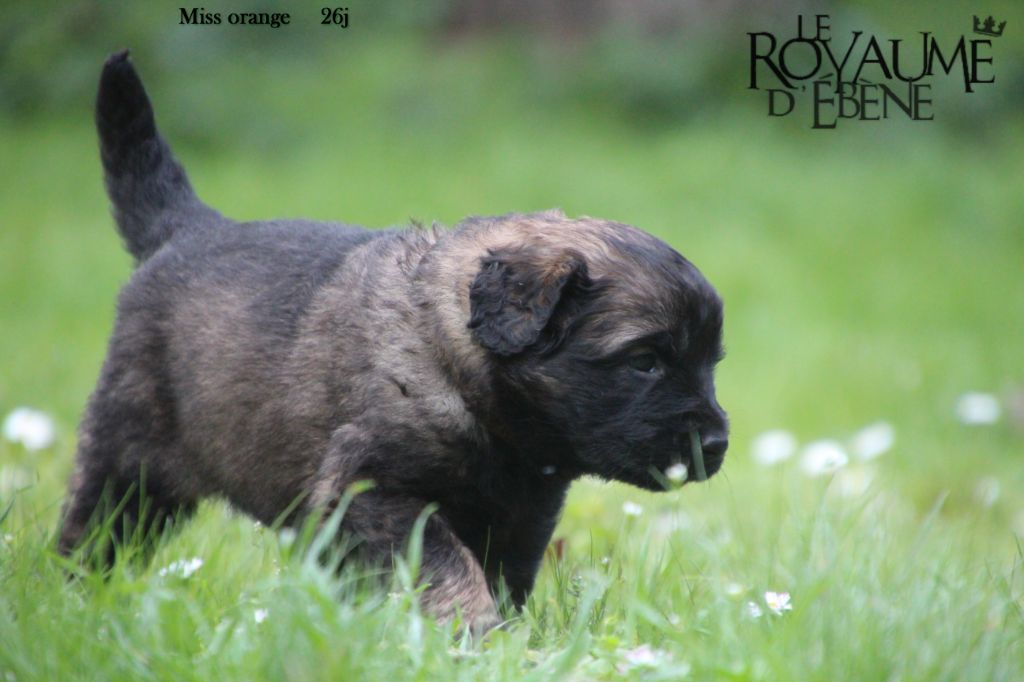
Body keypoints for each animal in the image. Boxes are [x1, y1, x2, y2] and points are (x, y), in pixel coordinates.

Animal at [58, 52, 729, 630]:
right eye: (644, 362)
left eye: (710, 363)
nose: (717, 445)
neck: (456, 365)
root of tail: (187, 228)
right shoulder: (376, 490)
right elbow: (447, 566)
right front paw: (475, 633)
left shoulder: (521, 513)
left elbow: (502, 575)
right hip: (128, 462)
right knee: (93, 534)